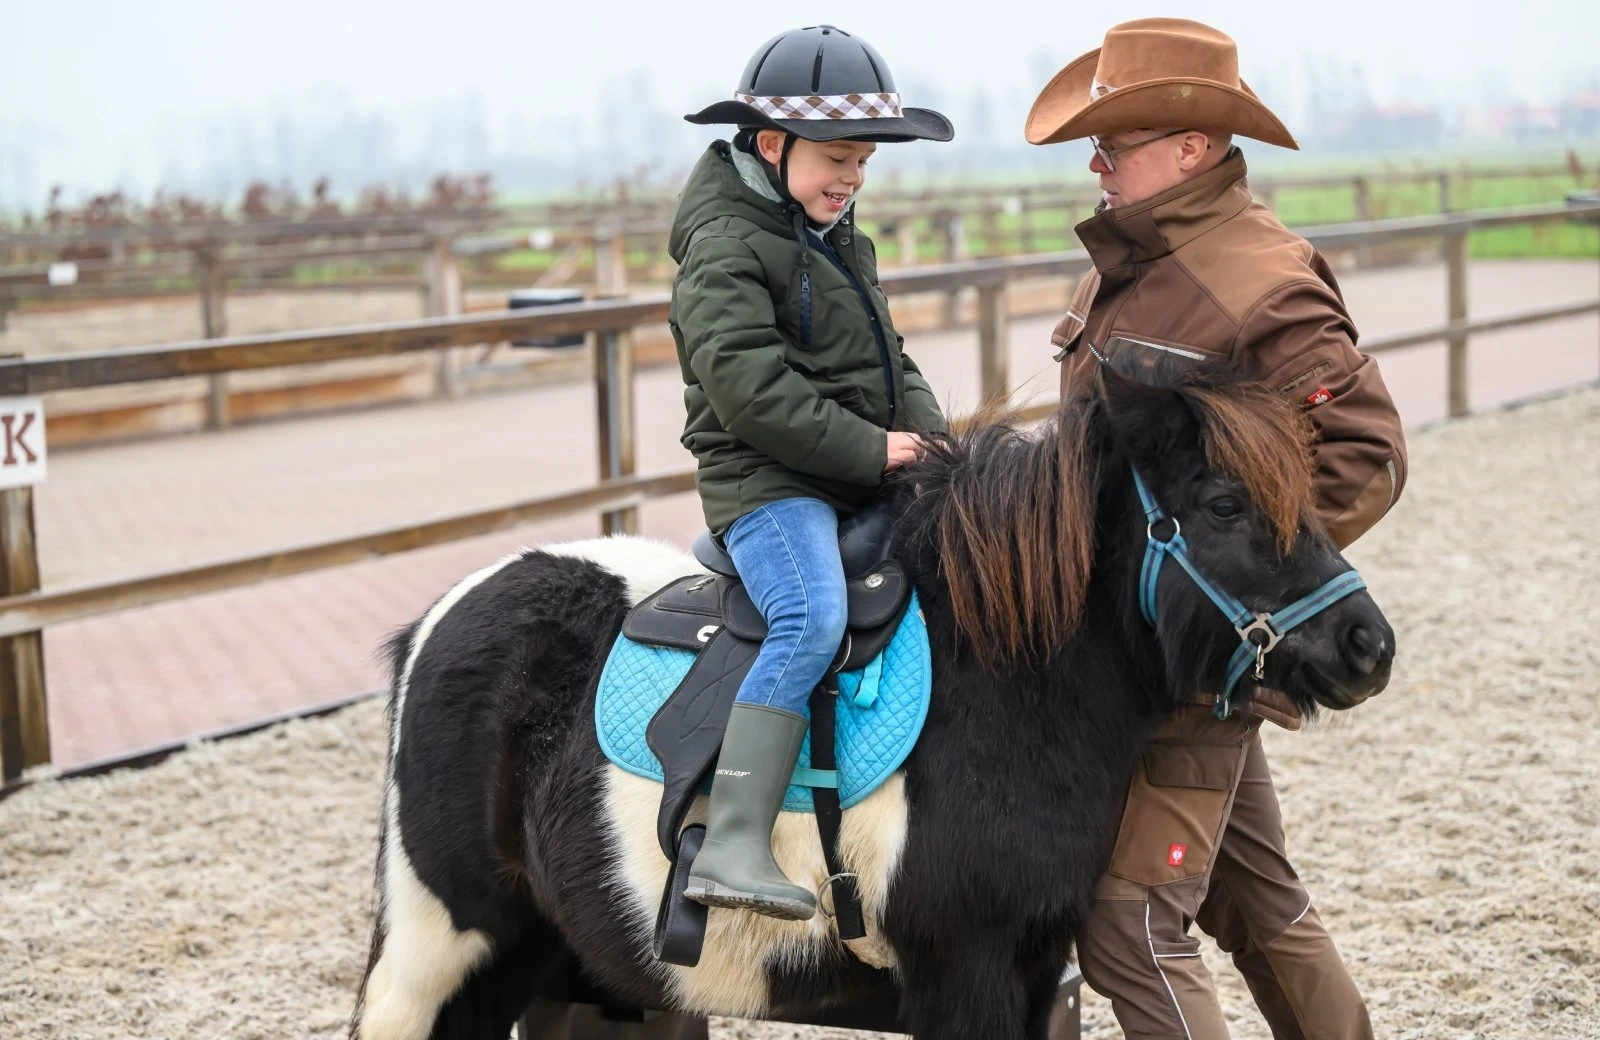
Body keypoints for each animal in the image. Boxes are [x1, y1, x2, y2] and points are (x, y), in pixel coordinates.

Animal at [349, 360, 1395, 1040]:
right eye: (1223, 505)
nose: (1368, 645)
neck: (1008, 681)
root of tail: (440, 619)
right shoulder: (963, 975)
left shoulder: (1033, 972)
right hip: (439, 954)